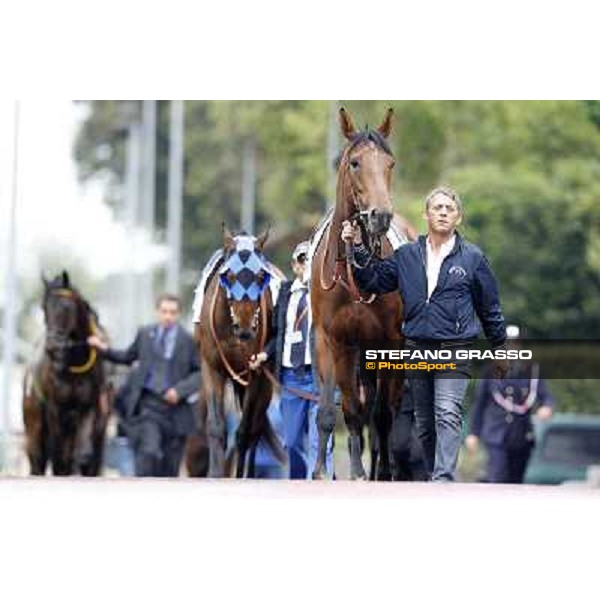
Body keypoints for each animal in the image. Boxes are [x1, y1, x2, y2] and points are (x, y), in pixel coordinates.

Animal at [22, 270, 111, 474]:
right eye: (44, 307)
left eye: (66, 306)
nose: (53, 348)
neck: (75, 366)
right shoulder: (55, 409)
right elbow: (58, 459)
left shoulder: (88, 407)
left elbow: (83, 455)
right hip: (34, 425)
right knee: (38, 459)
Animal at [193, 226, 284, 478]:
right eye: (230, 276)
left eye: (260, 276)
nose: (244, 329)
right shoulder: (212, 368)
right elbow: (216, 426)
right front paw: (215, 473)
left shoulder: (257, 374)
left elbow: (244, 432)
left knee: (255, 429)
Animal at [310, 108, 412, 480]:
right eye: (355, 162)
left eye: (389, 163)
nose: (380, 216)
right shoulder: (334, 339)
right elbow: (344, 409)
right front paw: (336, 471)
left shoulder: (390, 341)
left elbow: (382, 415)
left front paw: (381, 471)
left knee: (387, 412)